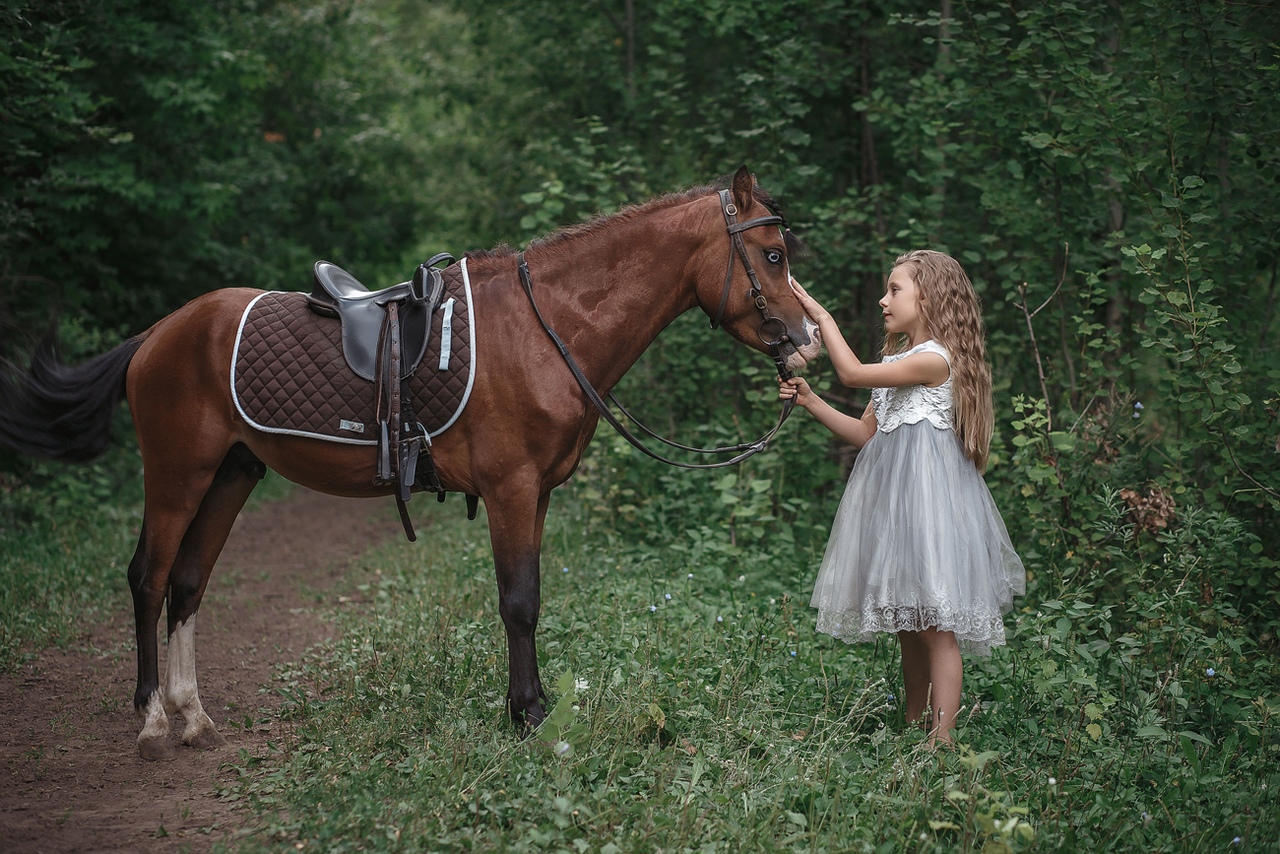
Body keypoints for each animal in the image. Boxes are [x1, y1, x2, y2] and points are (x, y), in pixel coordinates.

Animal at [0, 166, 819, 763]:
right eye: (773, 256)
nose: (809, 339)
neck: (545, 327)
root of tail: (160, 333)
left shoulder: (537, 494)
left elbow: (531, 597)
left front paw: (534, 706)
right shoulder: (511, 490)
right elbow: (518, 602)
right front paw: (527, 718)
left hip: (231, 474)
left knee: (188, 583)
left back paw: (192, 716)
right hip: (177, 475)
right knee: (148, 578)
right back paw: (150, 722)